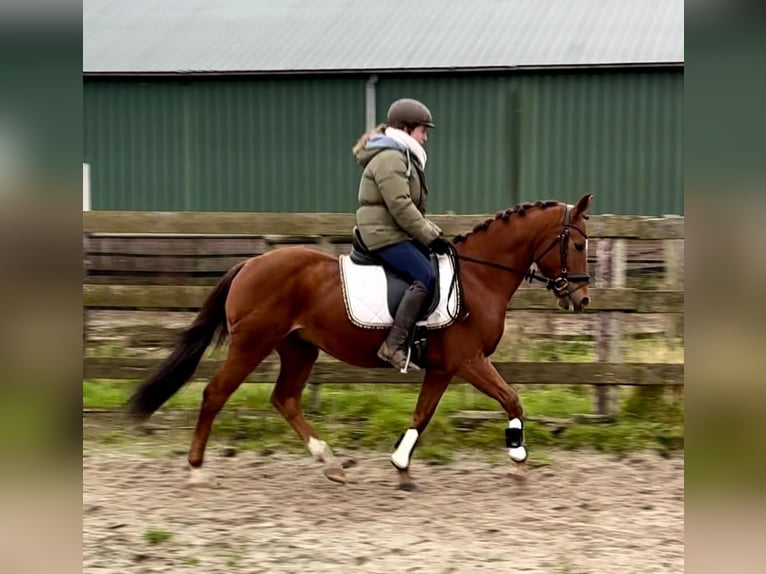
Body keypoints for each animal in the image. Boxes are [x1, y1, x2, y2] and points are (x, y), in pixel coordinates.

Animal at [127, 195, 592, 490]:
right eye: (578, 243)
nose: (582, 298)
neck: (479, 277)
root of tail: (250, 263)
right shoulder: (467, 360)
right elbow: (512, 398)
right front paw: (518, 458)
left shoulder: (443, 367)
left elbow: (422, 415)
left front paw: (401, 467)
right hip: (251, 345)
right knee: (215, 394)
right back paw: (197, 470)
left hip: (299, 348)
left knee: (285, 399)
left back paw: (331, 464)